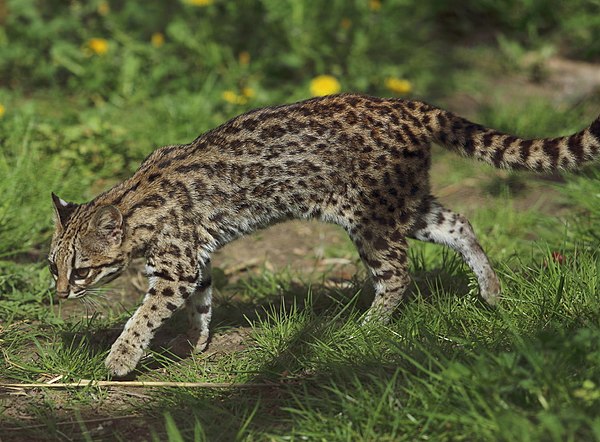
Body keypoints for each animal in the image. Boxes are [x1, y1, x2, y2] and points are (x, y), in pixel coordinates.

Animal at [48, 94, 600, 376]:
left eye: (81, 270)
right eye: (53, 266)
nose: (56, 296)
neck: (133, 206)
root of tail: (410, 105)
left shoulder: (177, 265)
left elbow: (144, 314)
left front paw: (121, 357)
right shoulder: (195, 259)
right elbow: (201, 301)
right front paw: (196, 341)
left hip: (370, 218)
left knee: (398, 274)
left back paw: (368, 326)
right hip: (405, 204)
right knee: (459, 222)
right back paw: (491, 289)